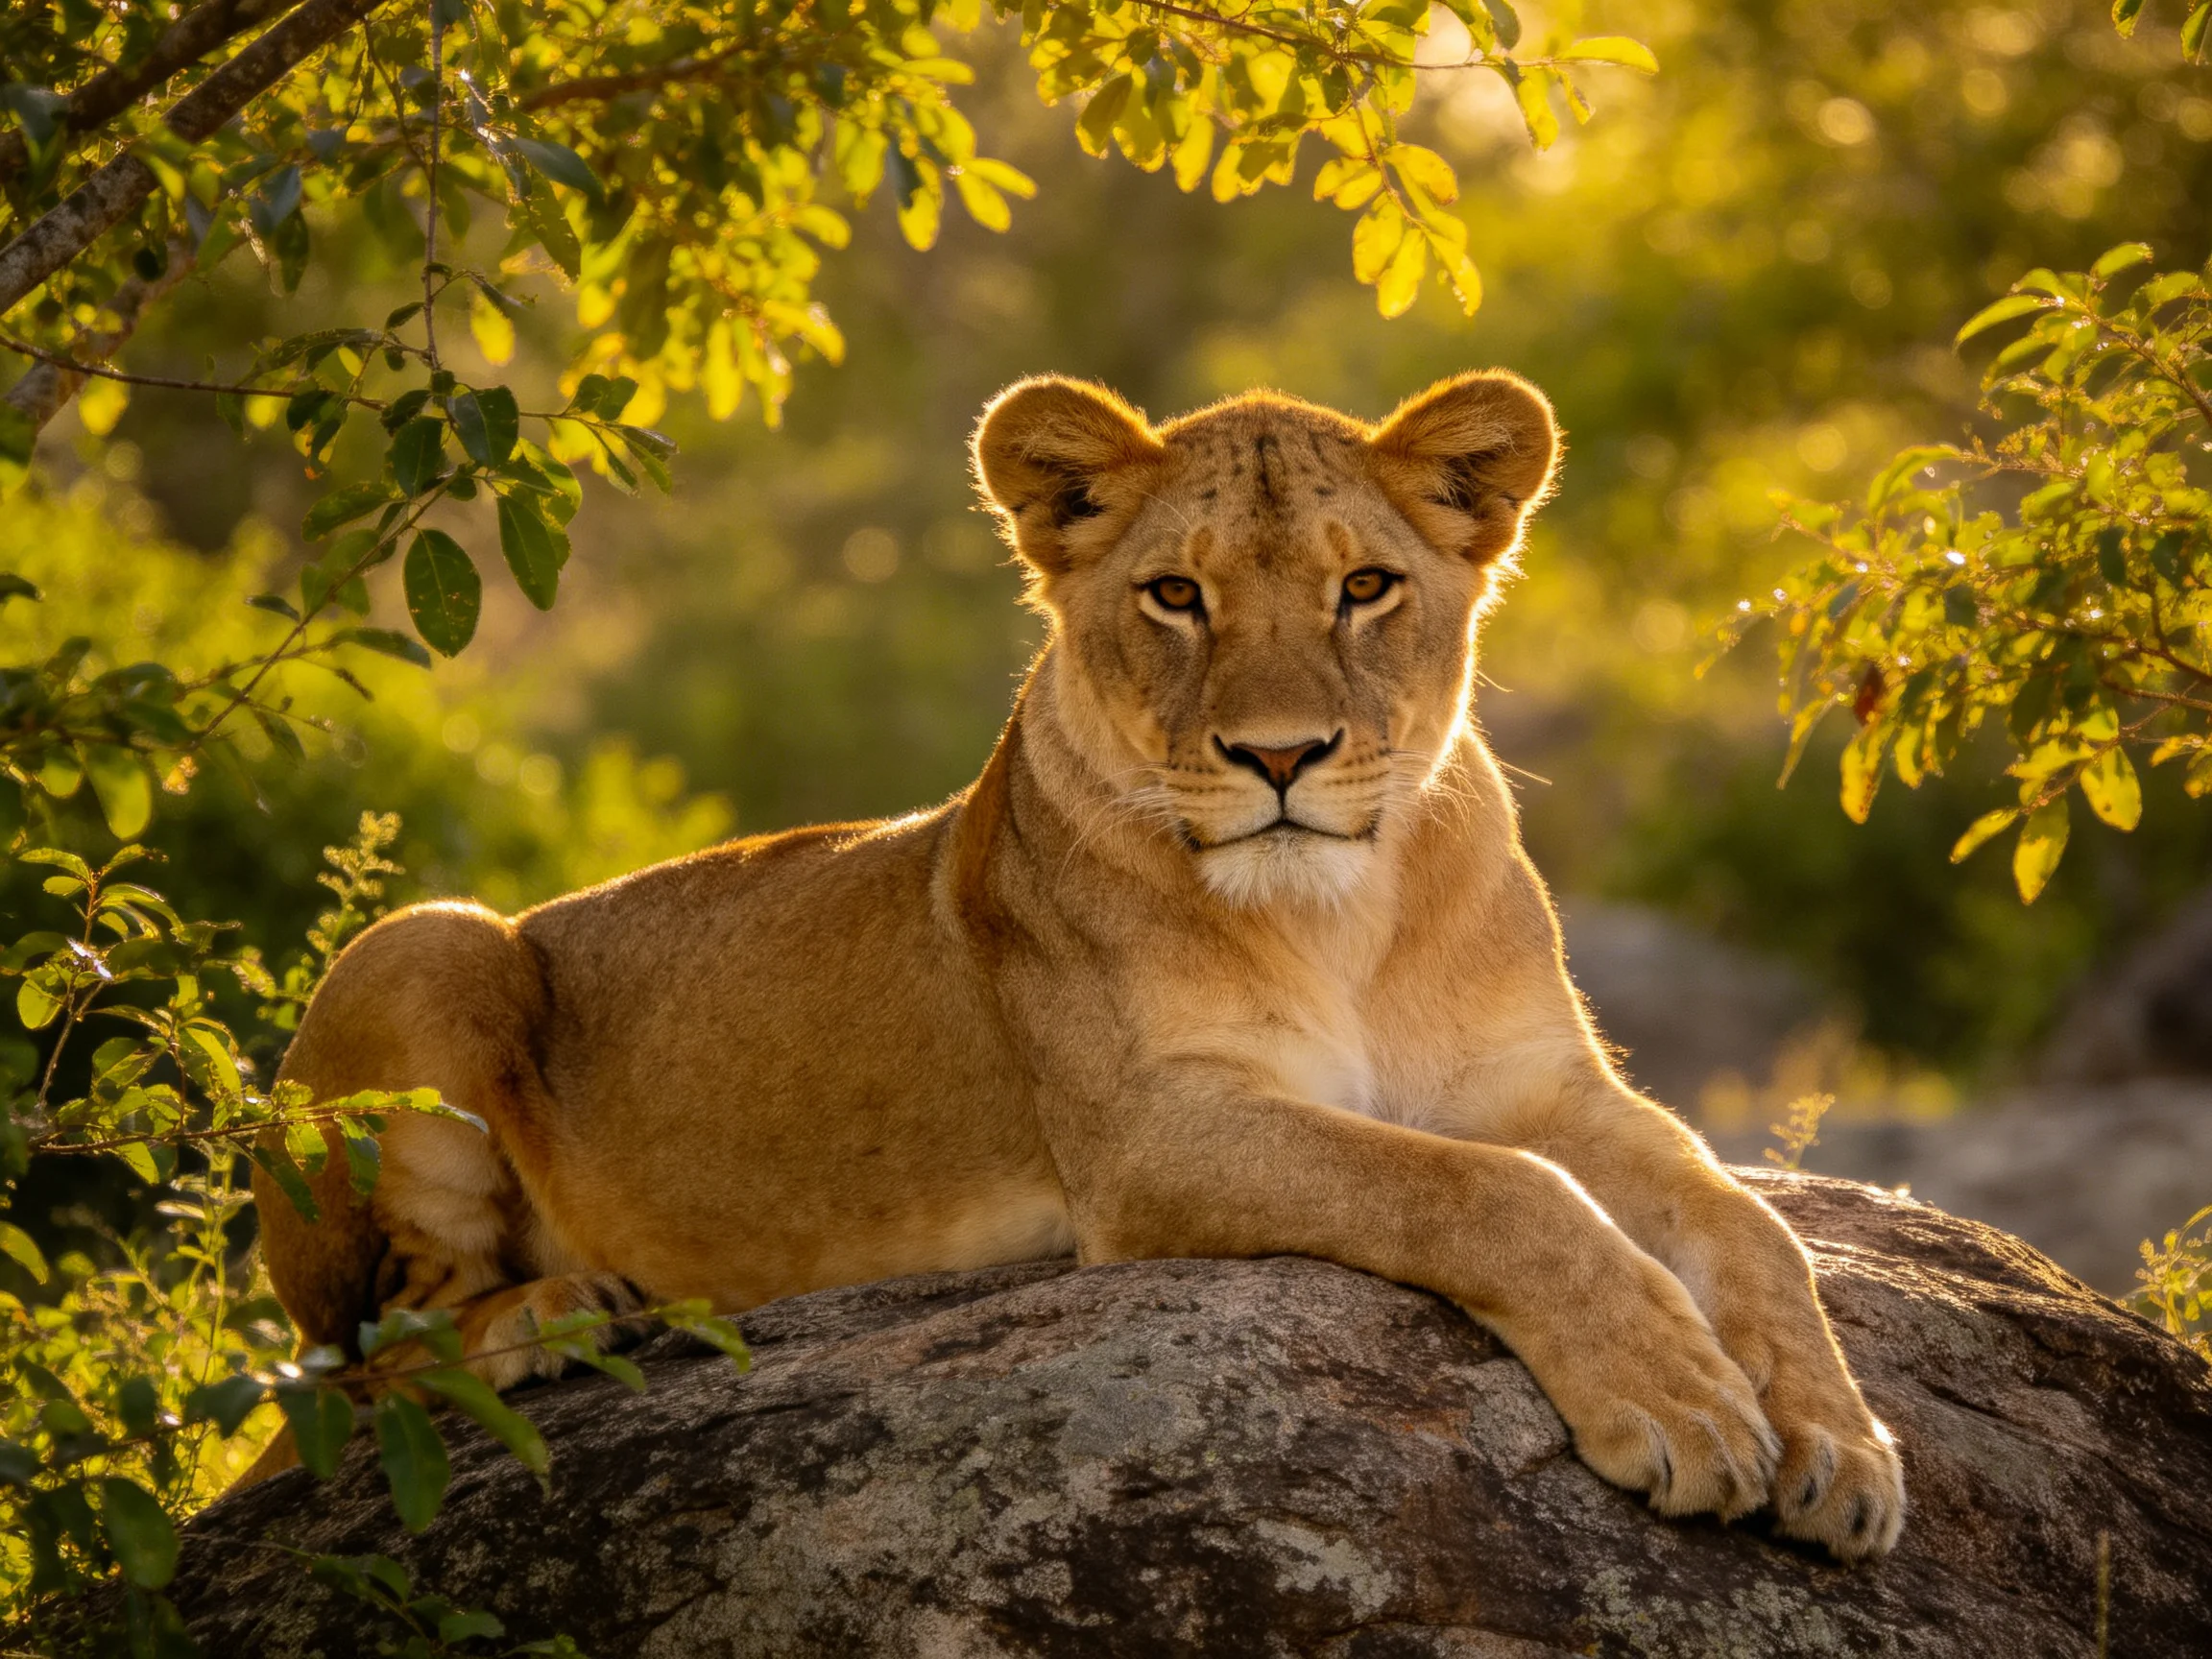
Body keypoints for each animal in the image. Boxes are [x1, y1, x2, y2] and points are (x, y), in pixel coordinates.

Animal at [253, 371, 1906, 1559]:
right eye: (1175, 595)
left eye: (1365, 588)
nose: (1280, 757)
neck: (1340, 914)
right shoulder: (1148, 1142)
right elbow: (1491, 1194)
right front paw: (1683, 1404)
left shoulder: (1540, 1083)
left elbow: (1747, 1223)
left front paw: (1842, 1448)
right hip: (428, 944)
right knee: (352, 1360)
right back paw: (558, 1314)